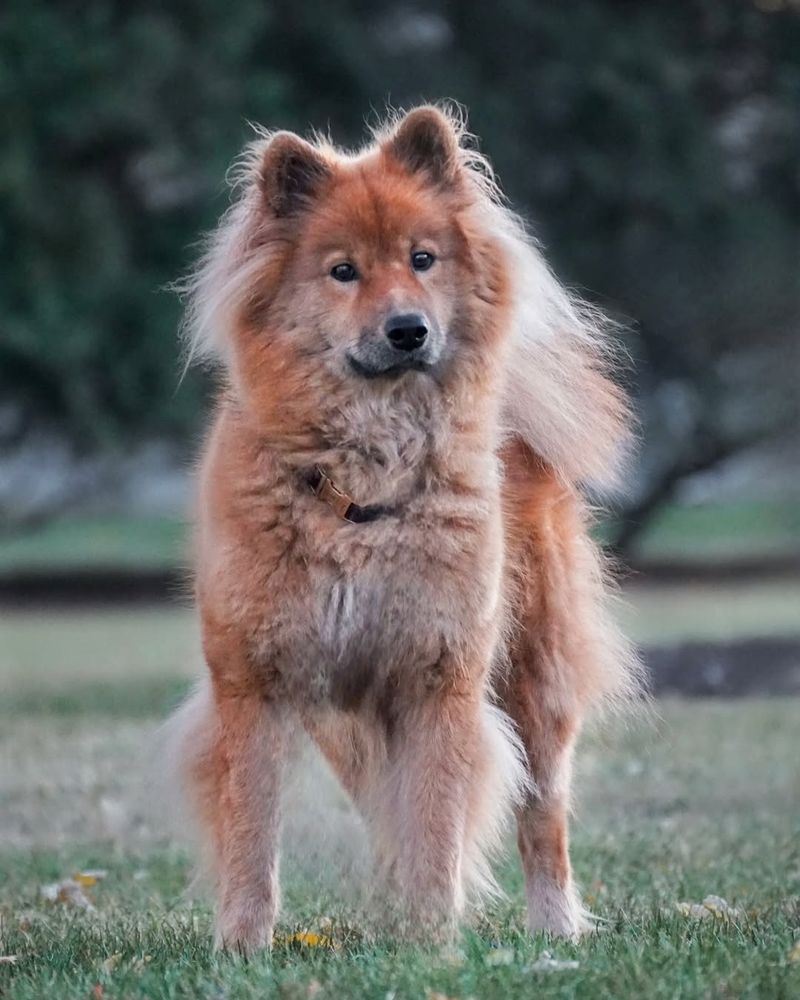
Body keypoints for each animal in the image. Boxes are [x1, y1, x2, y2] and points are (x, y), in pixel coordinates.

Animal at [166, 103, 640, 952]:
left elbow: (436, 822)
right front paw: (243, 947)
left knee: (541, 812)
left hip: (534, 682)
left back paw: (555, 929)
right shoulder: (257, 683)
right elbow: (252, 831)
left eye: (423, 260)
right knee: (380, 806)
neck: (365, 476)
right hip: (347, 720)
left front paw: (430, 947)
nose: (409, 330)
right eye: (343, 271)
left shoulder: (437, 682)